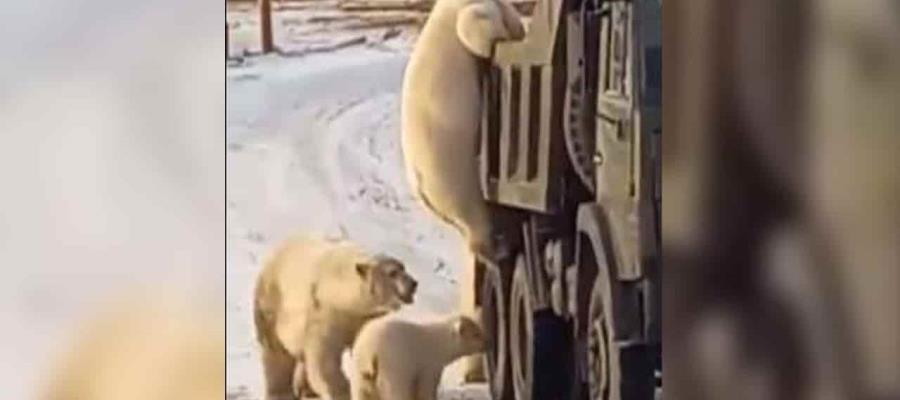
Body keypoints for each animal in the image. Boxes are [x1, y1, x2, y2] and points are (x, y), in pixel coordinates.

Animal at [254, 235, 418, 400]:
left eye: (404, 267)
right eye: (392, 273)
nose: (413, 283)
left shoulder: (364, 317)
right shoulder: (326, 313)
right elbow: (324, 359)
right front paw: (342, 392)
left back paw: (306, 390)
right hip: (272, 303)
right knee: (276, 353)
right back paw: (281, 393)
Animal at [349, 314, 485, 400]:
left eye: (478, 330)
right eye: (476, 334)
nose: (487, 341)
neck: (438, 342)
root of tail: (369, 352)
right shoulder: (428, 363)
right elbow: (426, 388)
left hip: (359, 372)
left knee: (361, 393)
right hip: (392, 366)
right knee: (395, 392)